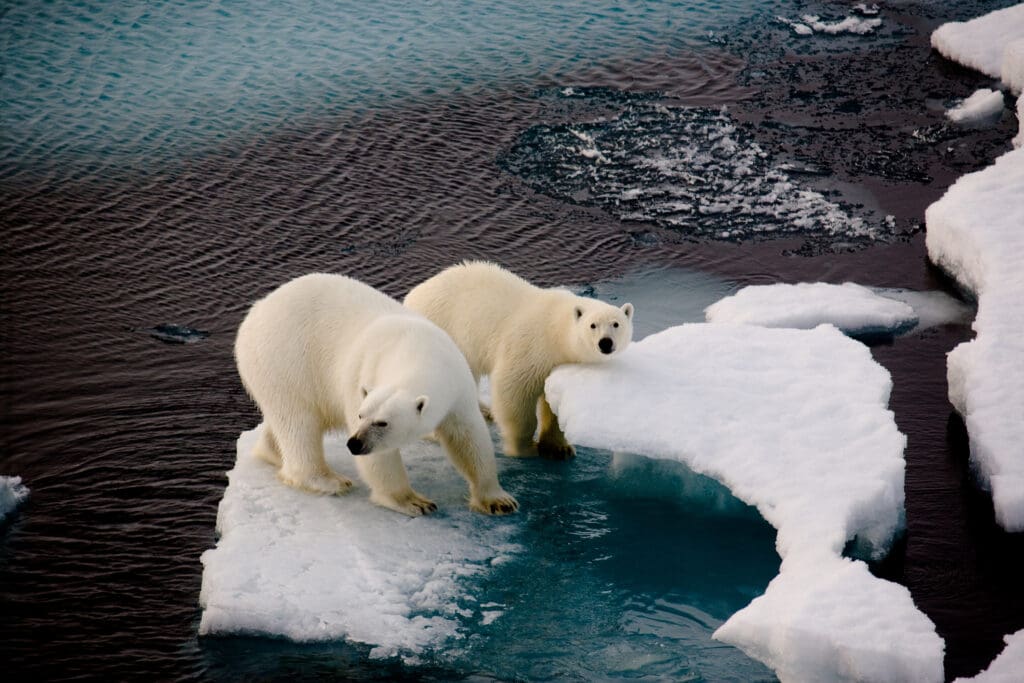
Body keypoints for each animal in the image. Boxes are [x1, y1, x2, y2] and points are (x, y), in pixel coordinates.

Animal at [234, 273, 518, 517]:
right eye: (361, 416)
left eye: (382, 422)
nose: (354, 443)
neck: (417, 349)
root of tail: (255, 312)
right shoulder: (362, 374)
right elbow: (381, 460)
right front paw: (414, 501)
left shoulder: (457, 383)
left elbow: (469, 437)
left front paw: (498, 500)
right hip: (284, 360)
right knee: (299, 422)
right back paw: (330, 481)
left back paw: (272, 452)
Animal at [404, 261, 633, 460]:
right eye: (593, 325)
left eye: (616, 324)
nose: (605, 343)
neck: (555, 329)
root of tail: (410, 297)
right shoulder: (530, 347)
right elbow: (514, 392)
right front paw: (525, 448)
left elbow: (553, 402)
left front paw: (559, 448)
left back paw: (484, 411)